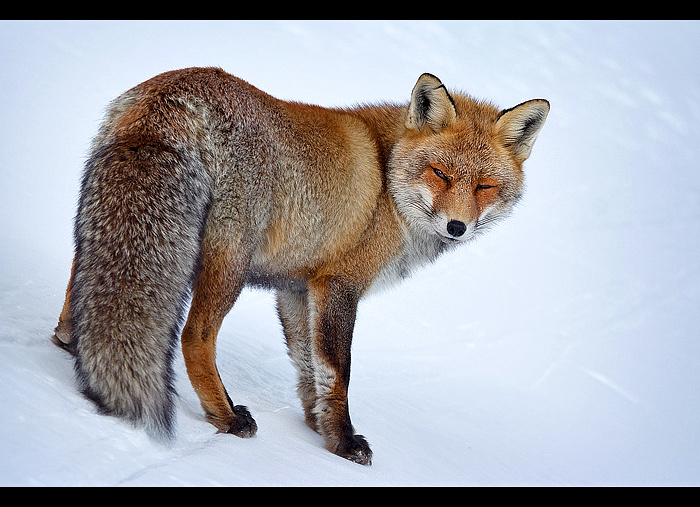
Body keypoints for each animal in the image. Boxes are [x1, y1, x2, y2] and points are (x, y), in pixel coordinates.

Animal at [52, 67, 549, 465]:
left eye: (484, 186)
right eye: (441, 174)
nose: (457, 227)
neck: (386, 184)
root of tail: (179, 85)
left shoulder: (296, 288)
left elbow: (309, 367)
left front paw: (318, 427)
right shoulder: (338, 283)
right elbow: (338, 371)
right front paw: (344, 442)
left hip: (112, 225)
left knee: (79, 286)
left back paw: (71, 346)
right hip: (228, 263)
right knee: (195, 338)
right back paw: (226, 417)